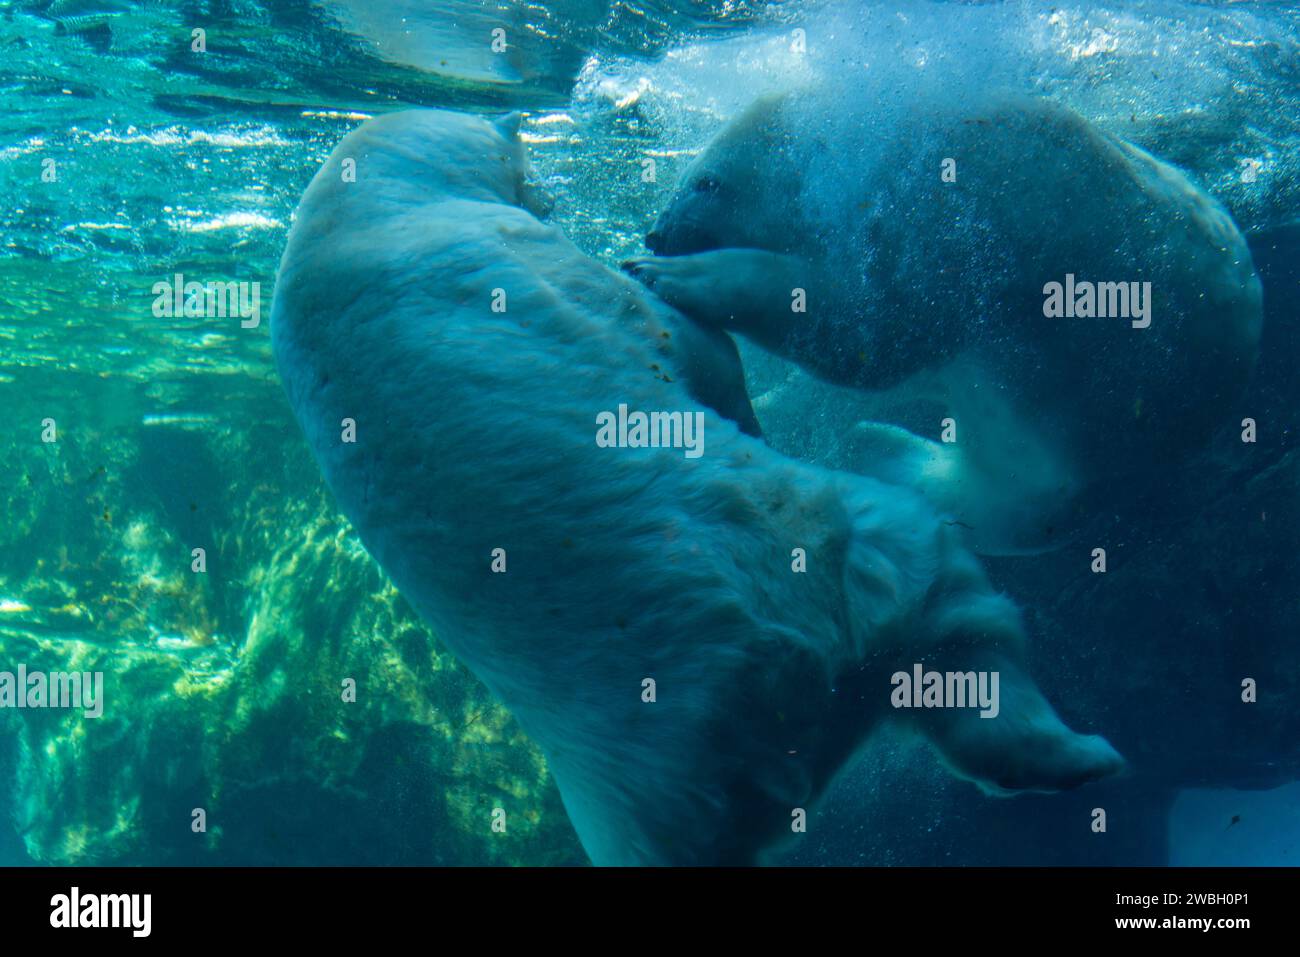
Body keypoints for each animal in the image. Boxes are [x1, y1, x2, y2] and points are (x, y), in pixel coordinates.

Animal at [269, 108, 1123, 863]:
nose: (554, 194)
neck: (366, 212)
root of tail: (791, 699)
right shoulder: (518, 254)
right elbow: (675, 337)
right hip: (836, 542)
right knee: (960, 626)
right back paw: (1087, 751)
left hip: (642, 800)